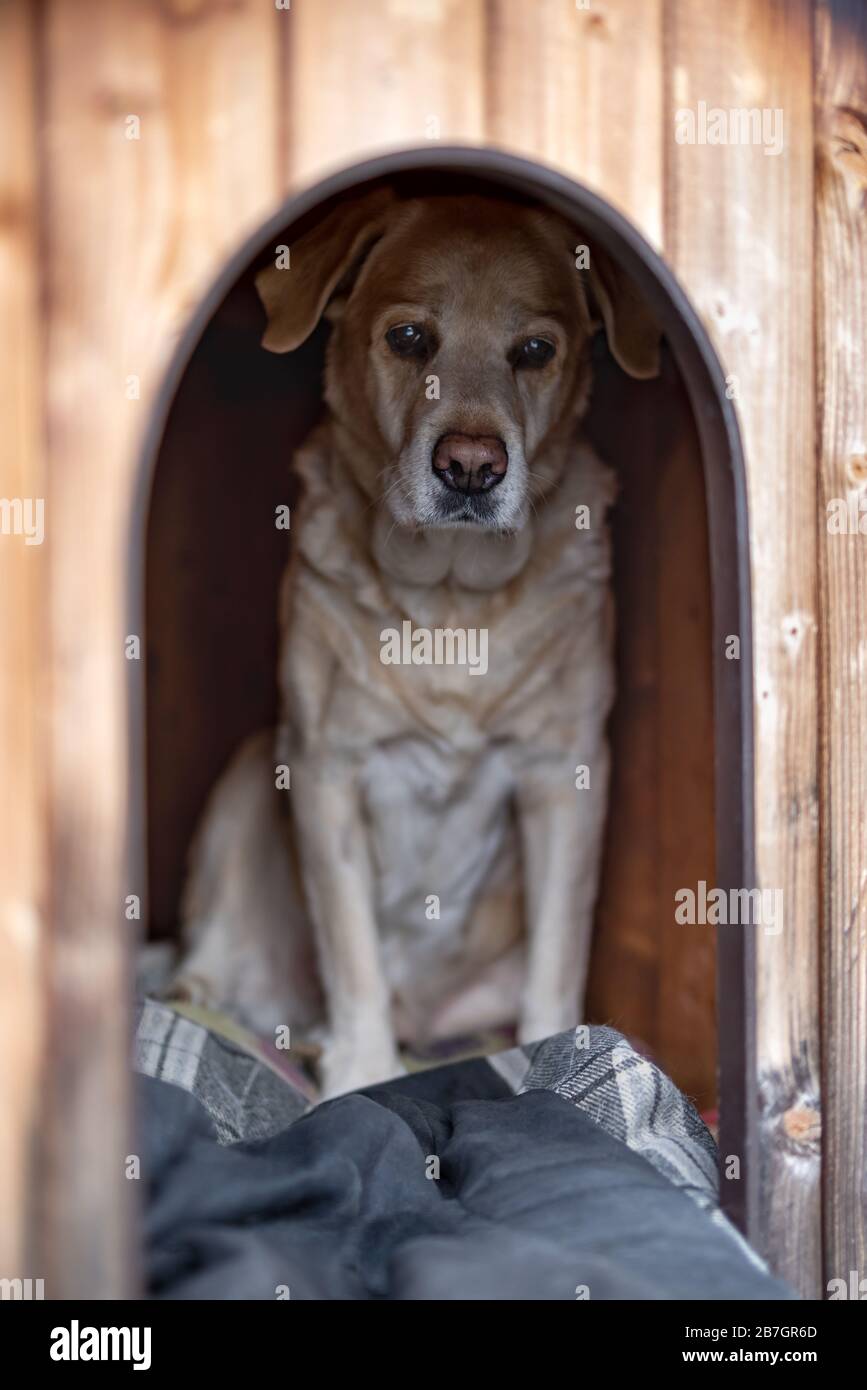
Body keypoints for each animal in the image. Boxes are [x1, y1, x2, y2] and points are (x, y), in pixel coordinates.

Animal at [170, 184, 655, 1095]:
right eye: (406, 339)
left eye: (533, 351)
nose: (470, 466)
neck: (451, 607)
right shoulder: (324, 765)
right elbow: (353, 951)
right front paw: (362, 1073)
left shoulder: (563, 773)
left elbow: (557, 956)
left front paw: (556, 1055)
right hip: (250, 774)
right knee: (210, 966)